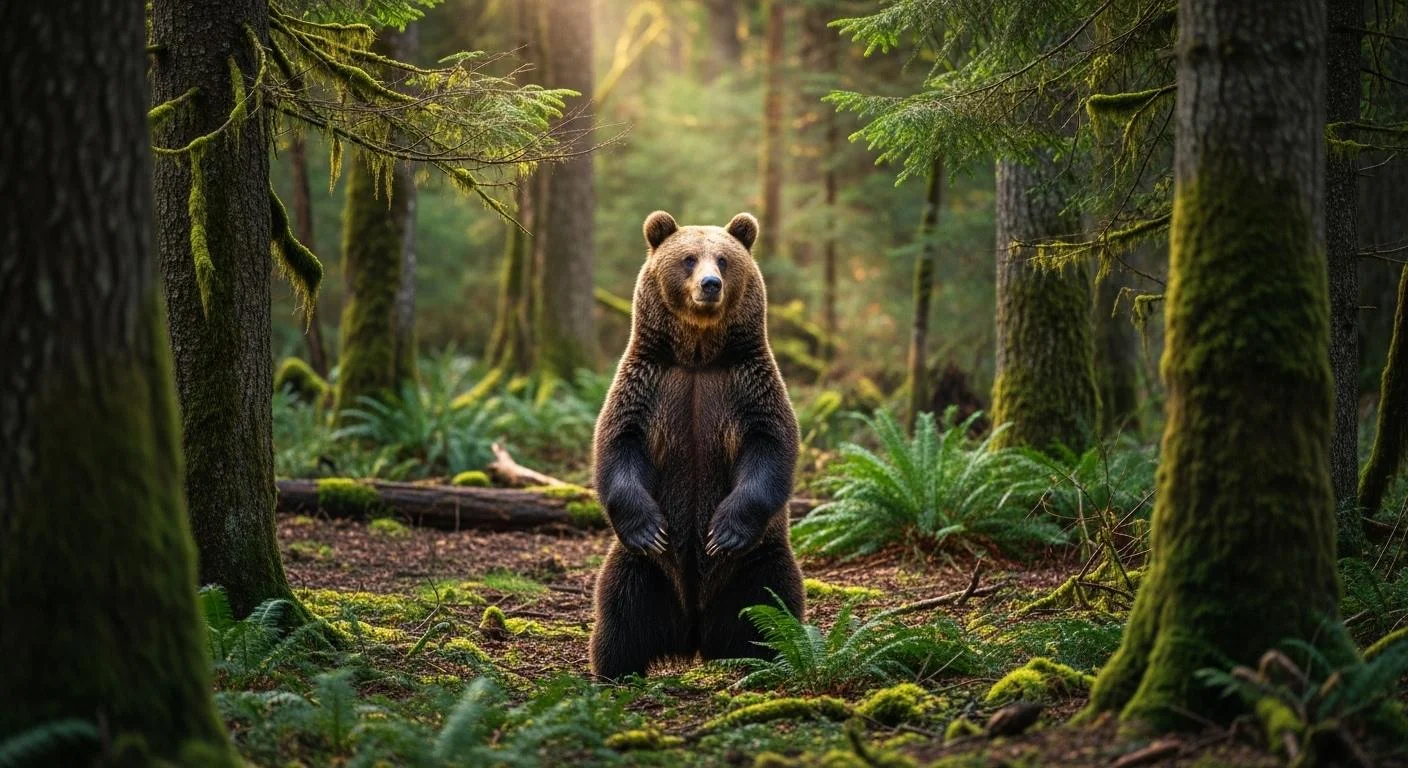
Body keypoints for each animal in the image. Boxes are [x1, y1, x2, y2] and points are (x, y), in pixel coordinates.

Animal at [589, 210, 805, 680]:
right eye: (688, 258)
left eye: (723, 259)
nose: (710, 284)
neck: (698, 356)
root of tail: (694, 634)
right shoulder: (648, 383)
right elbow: (618, 443)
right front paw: (650, 528)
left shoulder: (747, 385)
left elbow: (770, 446)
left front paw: (723, 532)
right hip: (640, 570)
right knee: (619, 611)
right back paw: (613, 672)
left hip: (759, 563)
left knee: (775, 605)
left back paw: (774, 664)